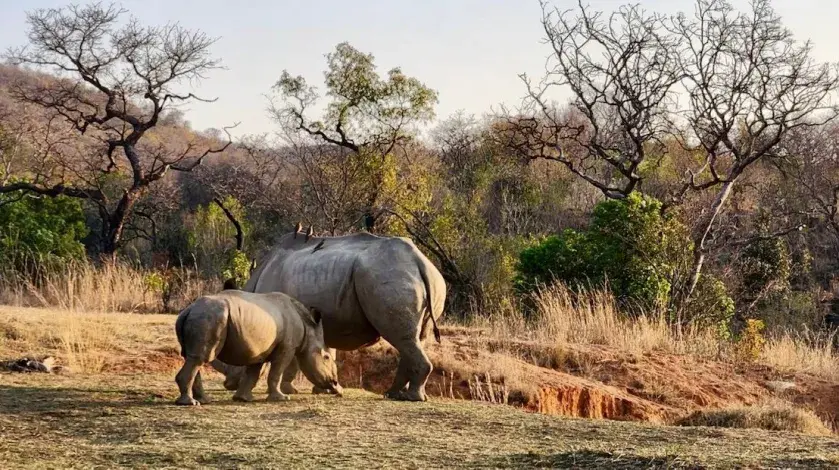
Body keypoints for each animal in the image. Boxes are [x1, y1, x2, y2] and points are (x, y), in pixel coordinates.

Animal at [174, 289, 342, 406]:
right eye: (326, 357)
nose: (335, 384)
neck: (308, 328)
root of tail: (188, 310)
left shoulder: (259, 351)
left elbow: (253, 373)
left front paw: (243, 399)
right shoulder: (287, 349)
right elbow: (276, 372)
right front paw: (281, 398)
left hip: (202, 317)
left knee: (192, 358)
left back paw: (204, 400)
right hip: (209, 318)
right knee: (201, 358)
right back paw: (190, 403)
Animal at [214, 229, 446, 402]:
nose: (228, 384)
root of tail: (419, 261)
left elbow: (295, 357)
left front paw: (290, 389)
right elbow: (326, 351)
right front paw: (324, 389)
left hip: (390, 277)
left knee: (402, 338)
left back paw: (410, 397)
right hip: (424, 280)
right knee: (413, 339)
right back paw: (394, 394)